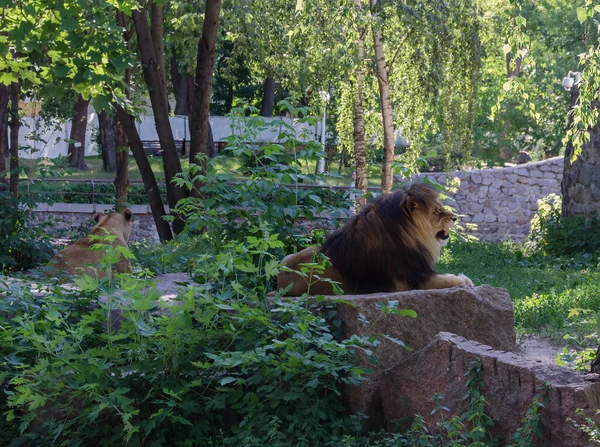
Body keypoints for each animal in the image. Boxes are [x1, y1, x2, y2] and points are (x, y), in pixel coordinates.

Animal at [276, 184, 474, 296]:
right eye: (437, 212)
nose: (455, 218)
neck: (408, 232)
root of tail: (279, 285)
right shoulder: (412, 280)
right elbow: (450, 280)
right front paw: (465, 280)